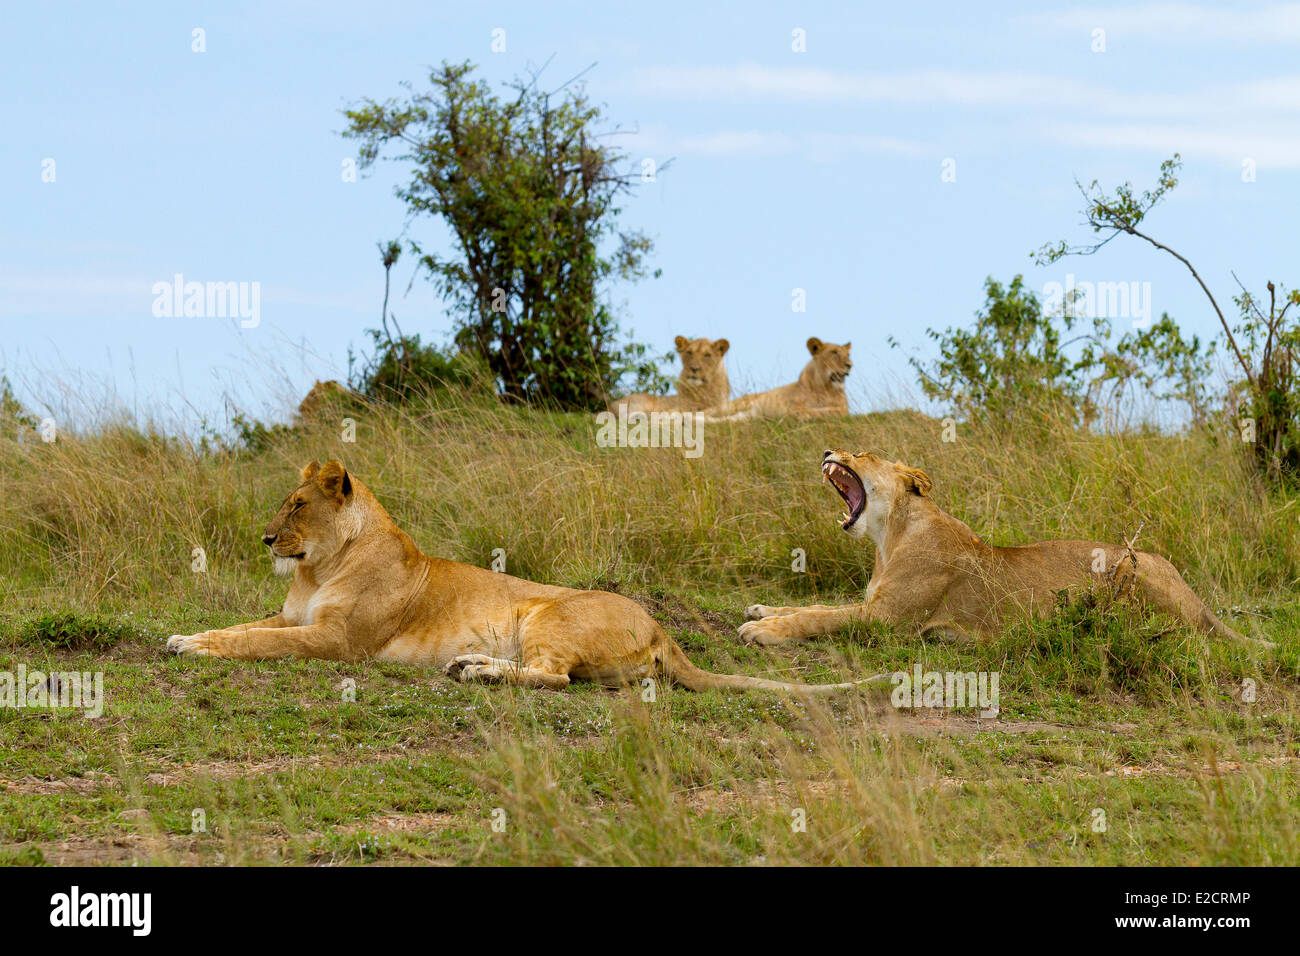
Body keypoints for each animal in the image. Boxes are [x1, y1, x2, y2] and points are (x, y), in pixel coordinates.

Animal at [167, 460, 886, 694]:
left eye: (296, 506)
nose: (265, 539)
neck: (317, 568)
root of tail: (662, 627)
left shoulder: (336, 641)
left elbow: (255, 641)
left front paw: (194, 646)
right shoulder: (294, 617)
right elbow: (246, 626)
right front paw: (185, 636)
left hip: (546, 614)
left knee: (555, 678)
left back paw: (477, 671)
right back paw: (470, 665)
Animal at [704, 338, 851, 421]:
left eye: (848, 354)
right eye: (834, 352)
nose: (850, 365)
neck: (825, 387)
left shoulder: (843, 408)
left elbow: (834, 411)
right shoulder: (794, 404)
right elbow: (807, 410)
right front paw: (801, 414)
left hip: (747, 415)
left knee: (726, 420)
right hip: (732, 406)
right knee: (708, 412)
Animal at [738, 450, 1268, 648]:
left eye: (862, 454)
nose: (829, 452)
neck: (889, 538)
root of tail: (1192, 593)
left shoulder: (887, 620)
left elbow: (820, 617)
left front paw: (762, 631)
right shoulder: (874, 604)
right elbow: (813, 606)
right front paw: (764, 610)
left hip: (1133, 576)